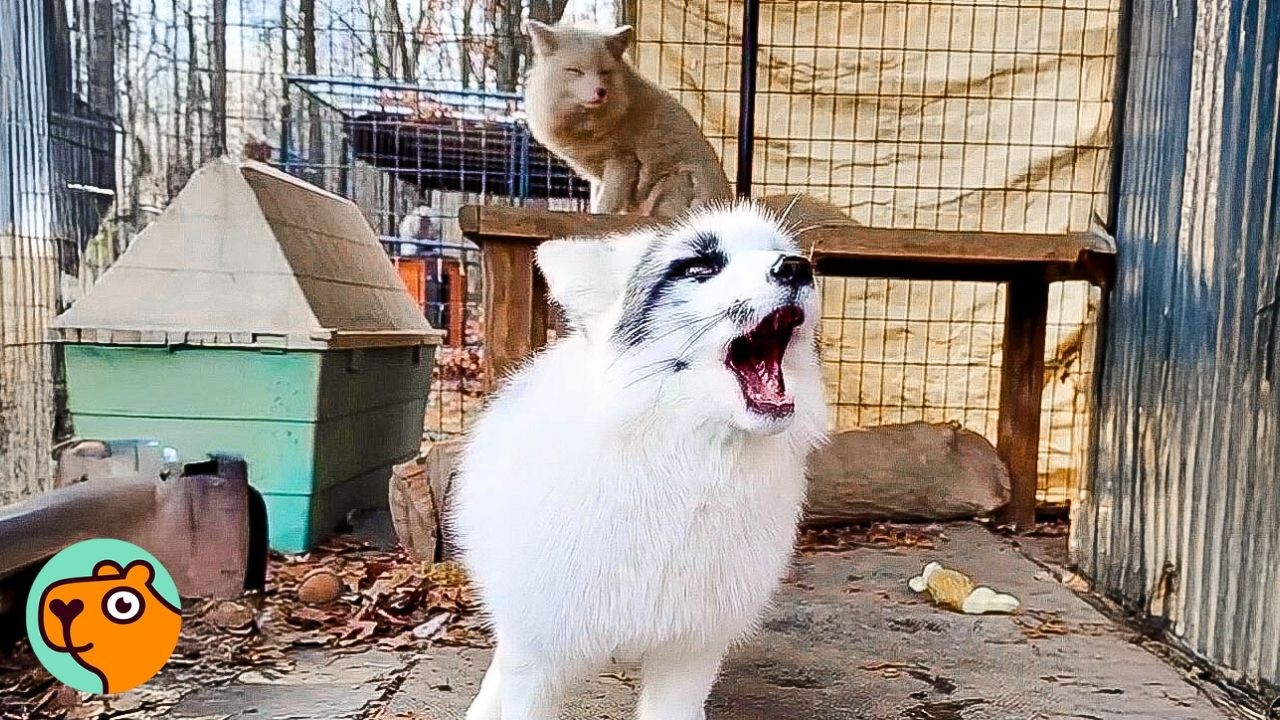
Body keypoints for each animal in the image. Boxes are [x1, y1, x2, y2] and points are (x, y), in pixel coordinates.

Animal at [524, 20, 734, 219]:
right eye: (575, 71)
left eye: (604, 72)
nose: (601, 92)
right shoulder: (599, 175)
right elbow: (597, 198)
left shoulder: (623, 161)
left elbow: (606, 204)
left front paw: (599, 218)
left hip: (674, 181)